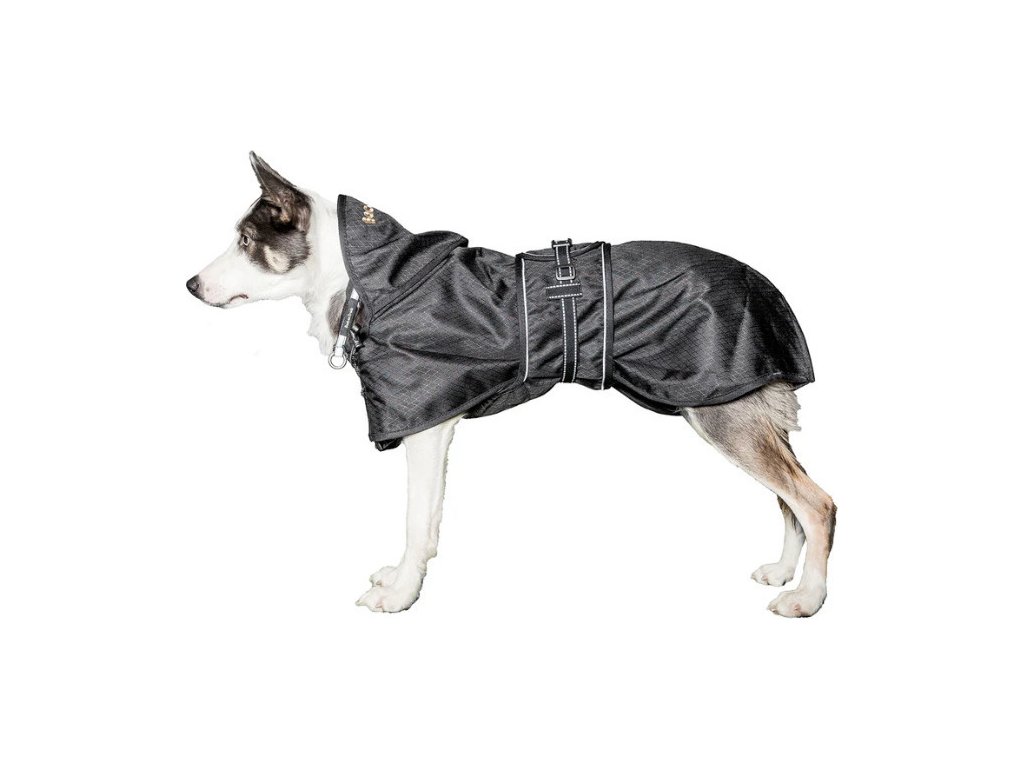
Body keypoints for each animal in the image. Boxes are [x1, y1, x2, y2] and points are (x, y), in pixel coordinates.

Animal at [186, 153, 837, 617]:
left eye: (245, 243)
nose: (191, 285)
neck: (364, 283)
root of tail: (764, 285)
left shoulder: (424, 426)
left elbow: (414, 519)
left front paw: (400, 595)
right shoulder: (438, 427)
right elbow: (430, 522)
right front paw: (407, 577)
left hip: (723, 414)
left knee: (816, 503)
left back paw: (807, 598)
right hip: (735, 412)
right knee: (790, 500)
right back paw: (784, 572)